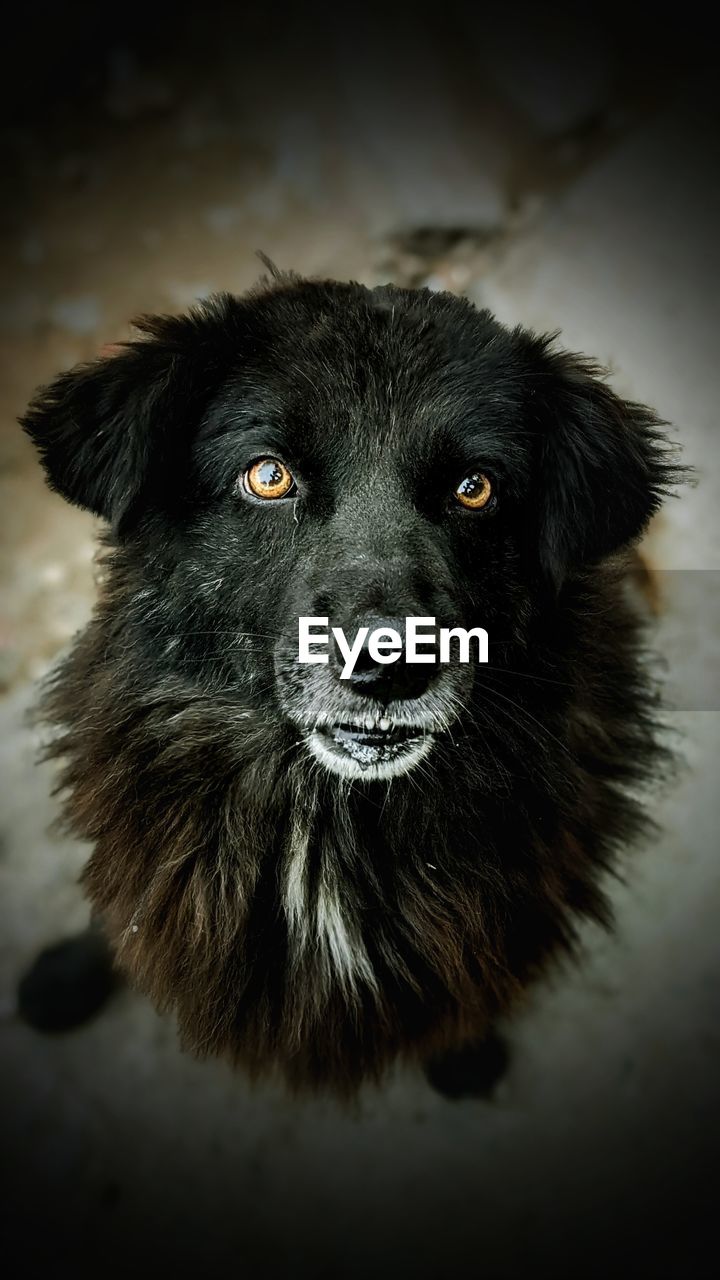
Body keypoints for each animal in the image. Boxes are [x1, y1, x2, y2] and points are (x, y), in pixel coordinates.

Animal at [16, 275, 676, 1095]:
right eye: (268, 475)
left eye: (475, 487)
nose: (390, 662)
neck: (326, 818)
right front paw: (71, 975)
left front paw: (463, 1050)